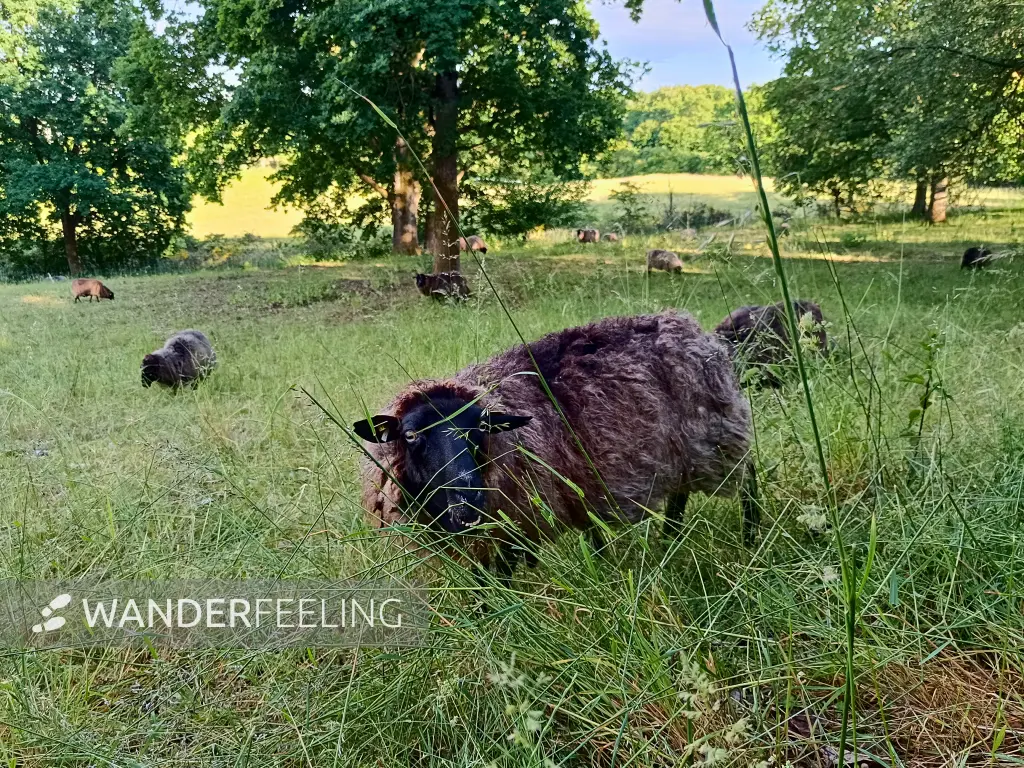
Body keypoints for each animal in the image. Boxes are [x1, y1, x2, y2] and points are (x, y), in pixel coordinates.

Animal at [354, 311, 758, 579]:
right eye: (410, 435)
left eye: (482, 428)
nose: (469, 502)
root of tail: (690, 327)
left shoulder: (513, 524)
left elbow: (501, 581)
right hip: (679, 448)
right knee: (680, 493)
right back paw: (669, 538)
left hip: (717, 432)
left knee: (748, 479)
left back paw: (750, 538)